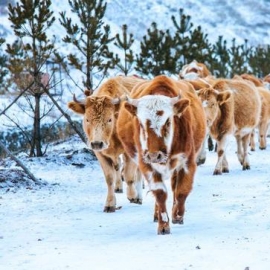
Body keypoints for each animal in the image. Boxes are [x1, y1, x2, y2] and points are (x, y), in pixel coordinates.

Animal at [67, 75, 146, 212]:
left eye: (109, 119)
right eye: (87, 119)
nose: (97, 143)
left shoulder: (130, 150)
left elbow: (129, 175)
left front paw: (133, 196)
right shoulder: (100, 153)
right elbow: (109, 178)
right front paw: (109, 204)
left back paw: (139, 195)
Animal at [116, 74, 207, 234]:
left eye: (168, 121)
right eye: (140, 123)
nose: (154, 155)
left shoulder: (187, 163)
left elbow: (181, 191)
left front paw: (177, 215)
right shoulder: (146, 164)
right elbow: (160, 193)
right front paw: (163, 224)